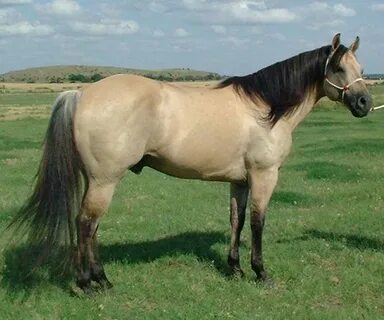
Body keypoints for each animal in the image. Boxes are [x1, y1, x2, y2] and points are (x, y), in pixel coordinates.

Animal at [9, 33, 372, 294]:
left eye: (362, 70)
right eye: (339, 68)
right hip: (105, 180)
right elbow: (258, 223)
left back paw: (102, 279)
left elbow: (237, 221)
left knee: (90, 225)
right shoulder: (264, 176)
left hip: (96, 180)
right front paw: (261, 272)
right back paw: (88, 284)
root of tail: (82, 93)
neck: (266, 109)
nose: (365, 103)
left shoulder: (239, 180)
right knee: (86, 224)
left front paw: (235, 268)